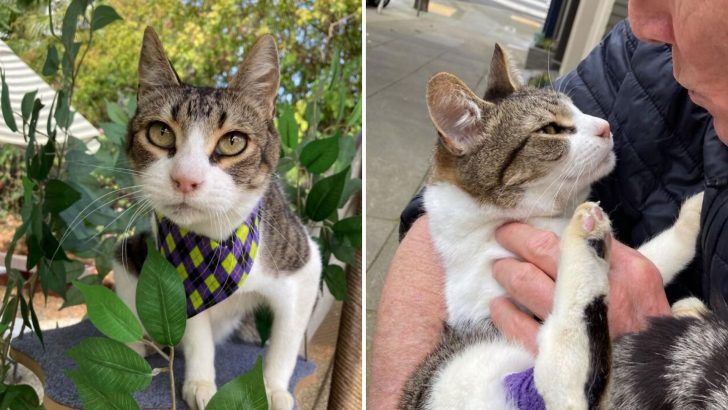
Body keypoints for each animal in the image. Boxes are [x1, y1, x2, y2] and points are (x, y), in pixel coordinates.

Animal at [112, 27, 320, 408]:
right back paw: (138, 343)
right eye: (160, 132)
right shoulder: (173, 273)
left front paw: (273, 389)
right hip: (130, 253)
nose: (185, 178)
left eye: (233, 141)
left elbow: (286, 341)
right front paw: (201, 384)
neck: (215, 241)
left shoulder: (304, 264)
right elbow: (194, 330)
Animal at [398, 44, 728, 406]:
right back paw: (585, 240)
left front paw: (693, 212)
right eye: (551, 129)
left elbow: (656, 256)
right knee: (562, 385)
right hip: (461, 371)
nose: (605, 125)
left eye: (579, 110)